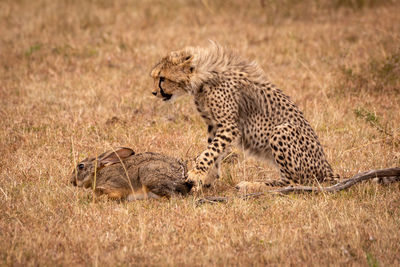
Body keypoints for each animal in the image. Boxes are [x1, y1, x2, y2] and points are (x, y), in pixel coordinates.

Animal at [150, 43, 338, 192]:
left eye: (162, 78)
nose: (153, 93)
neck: (203, 77)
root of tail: (327, 169)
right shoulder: (214, 124)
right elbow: (214, 151)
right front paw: (208, 179)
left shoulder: (228, 125)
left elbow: (210, 151)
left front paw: (197, 173)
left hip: (282, 130)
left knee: (293, 182)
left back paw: (252, 185)